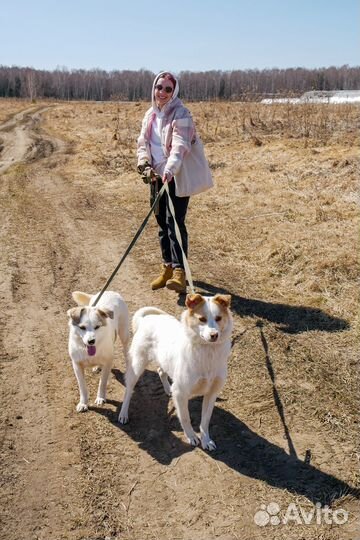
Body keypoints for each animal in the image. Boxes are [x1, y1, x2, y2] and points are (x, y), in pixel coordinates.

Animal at [119, 294, 233, 450]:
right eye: (202, 319)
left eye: (219, 318)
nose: (214, 335)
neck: (208, 352)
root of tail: (146, 320)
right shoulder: (181, 392)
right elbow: (185, 418)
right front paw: (191, 436)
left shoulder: (212, 393)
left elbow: (205, 421)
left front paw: (206, 440)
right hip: (137, 367)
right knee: (128, 390)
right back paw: (123, 413)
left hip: (164, 360)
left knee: (161, 371)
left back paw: (168, 389)